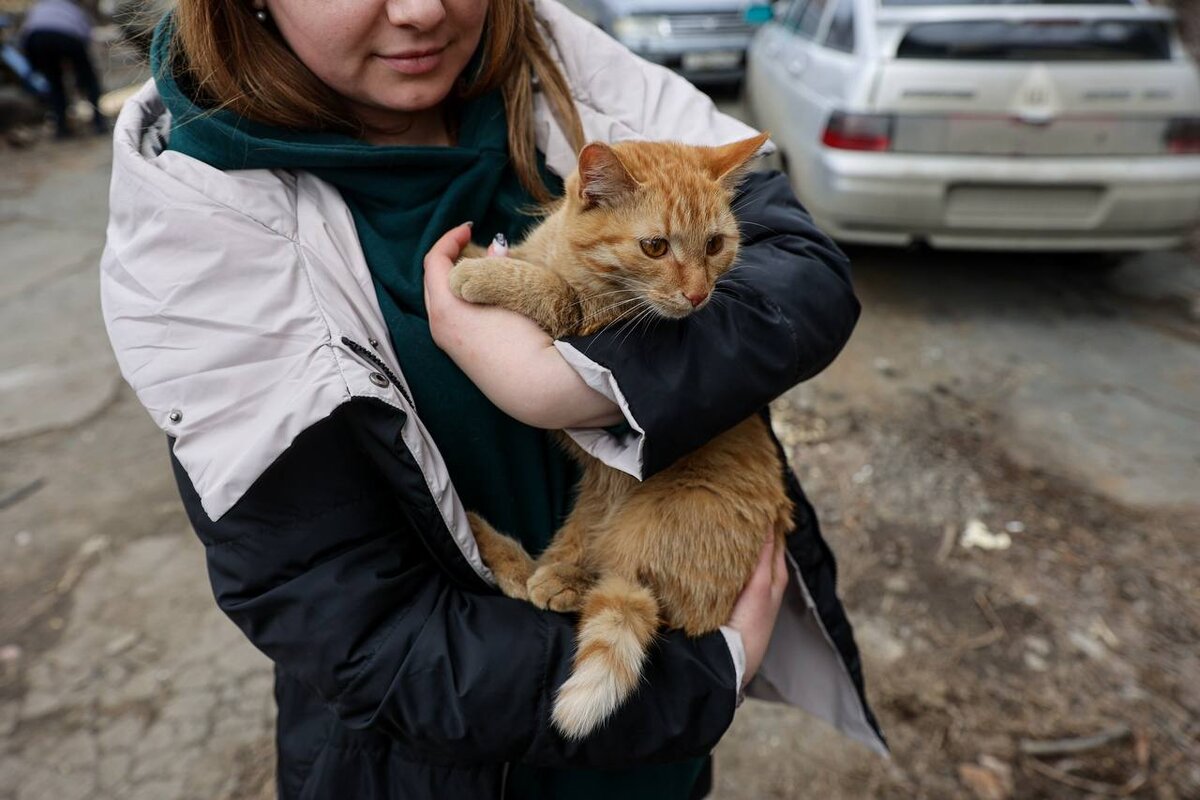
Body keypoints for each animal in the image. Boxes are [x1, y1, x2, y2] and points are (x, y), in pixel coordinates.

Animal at [446, 131, 792, 738]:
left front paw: (481, 273)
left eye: (714, 245)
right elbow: (527, 263)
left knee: (623, 584)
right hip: (601, 498)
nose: (699, 297)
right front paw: (481, 255)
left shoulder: (580, 323)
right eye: (655, 247)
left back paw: (552, 576)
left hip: (645, 519)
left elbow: (546, 289)